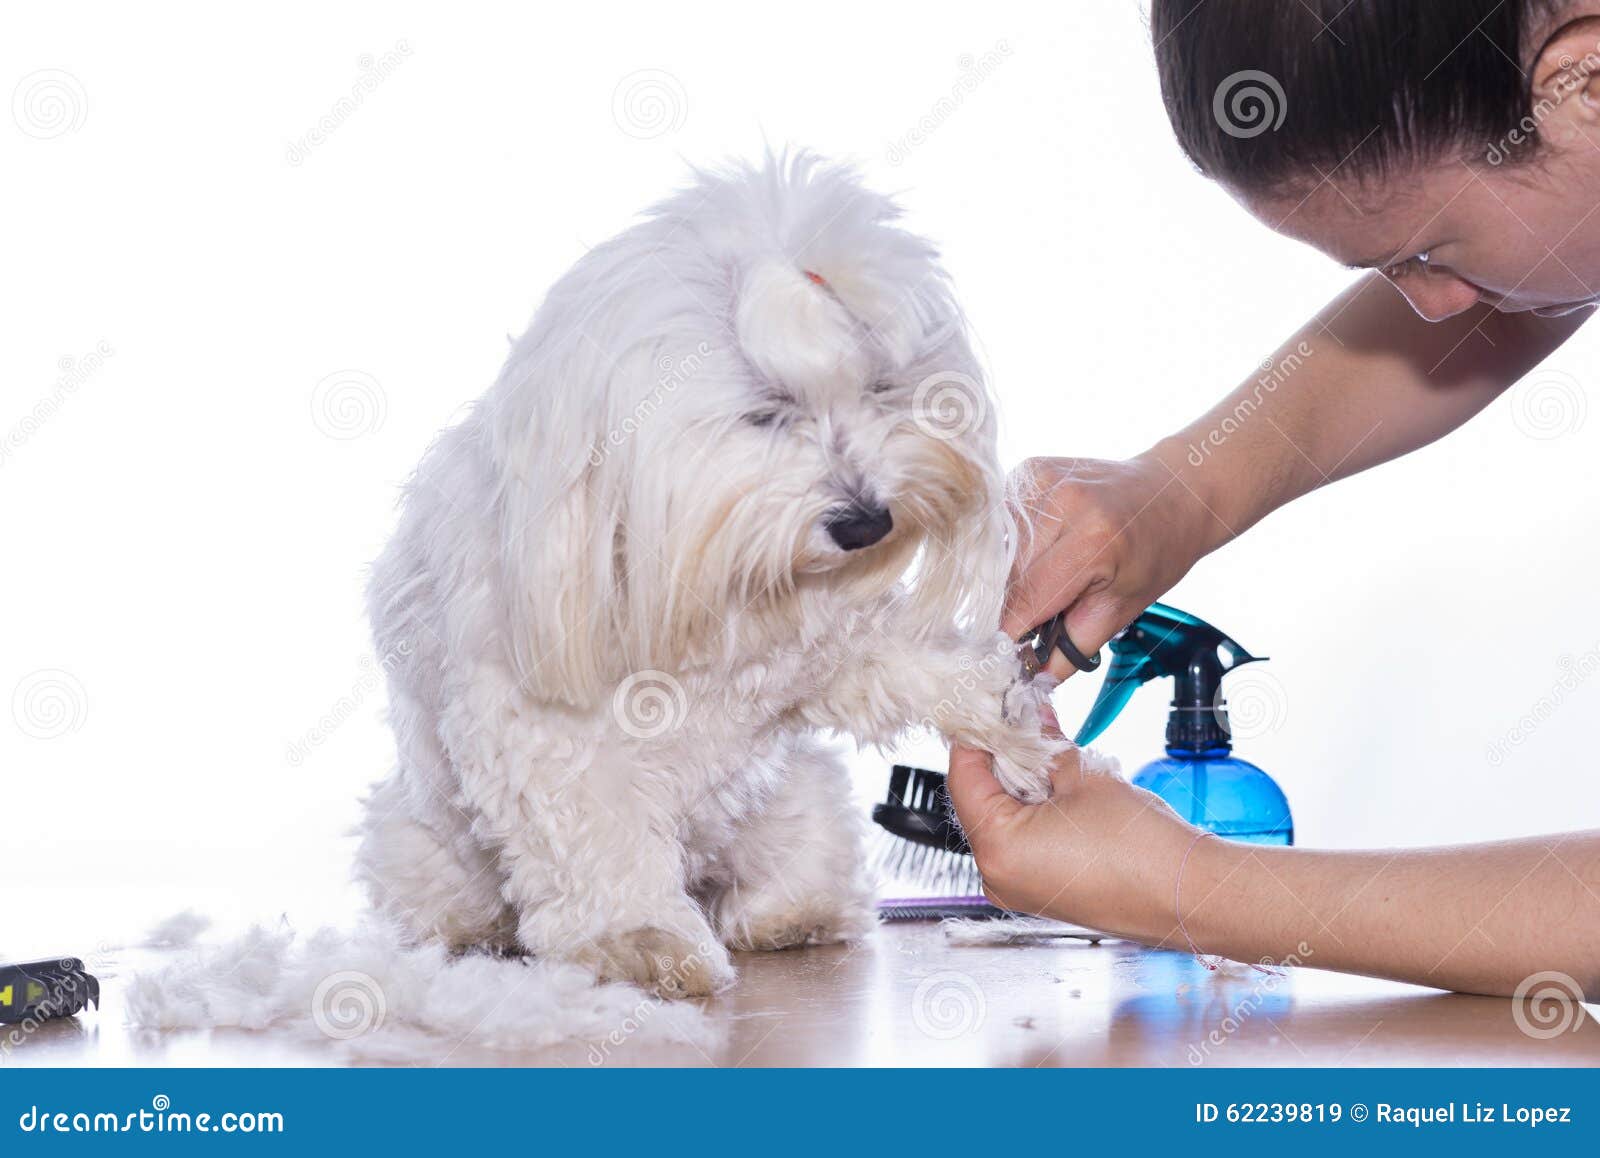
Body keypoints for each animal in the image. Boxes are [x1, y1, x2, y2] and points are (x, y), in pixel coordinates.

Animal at [355, 153, 1056, 998]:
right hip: (421, 846)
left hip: (799, 810)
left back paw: (791, 915)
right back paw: (480, 930)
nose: (867, 522)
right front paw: (637, 938)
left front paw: (1002, 717)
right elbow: (598, 838)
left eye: (882, 389)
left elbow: (893, 660)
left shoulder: (820, 644)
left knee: (793, 873)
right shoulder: (542, 729)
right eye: (768, 411)